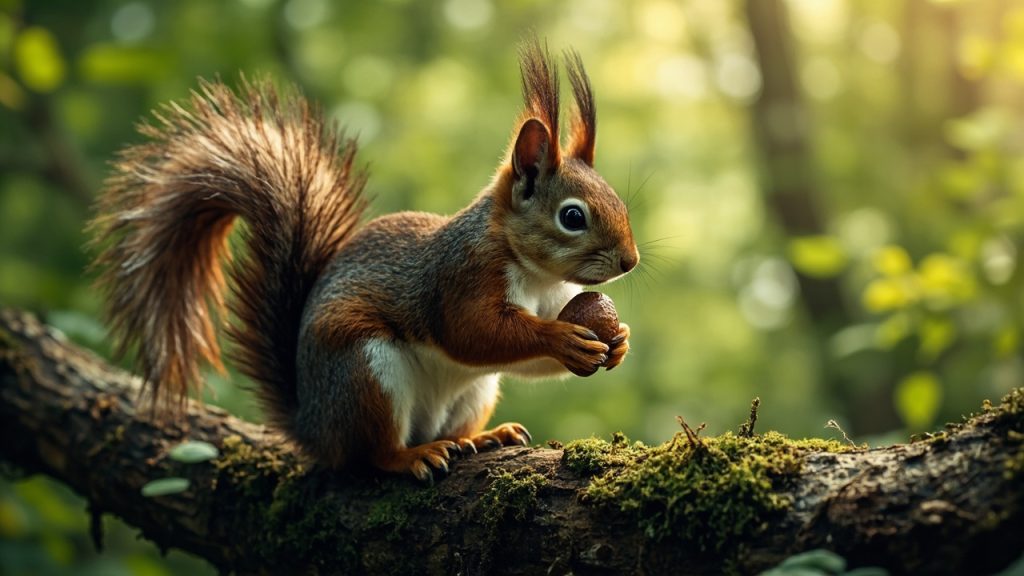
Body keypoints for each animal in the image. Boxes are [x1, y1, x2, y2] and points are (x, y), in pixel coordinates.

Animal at [89, 39, 638, 483]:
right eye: (572, 216)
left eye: (618, 199)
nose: (631, 261)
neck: (537, 274)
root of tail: (313, 426)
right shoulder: (459, 277)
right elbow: (474, 332)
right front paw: (563, 338)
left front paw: (618, 341)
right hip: (364, 371)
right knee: (373, 453)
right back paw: (412, 456)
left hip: (475, 392)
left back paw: (482, 438)